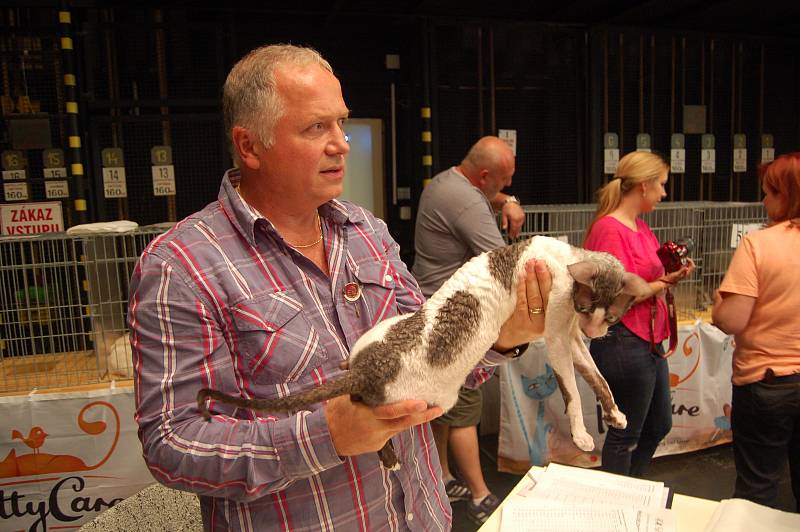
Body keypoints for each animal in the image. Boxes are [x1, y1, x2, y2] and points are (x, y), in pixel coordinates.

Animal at [198, 235, 648, 468]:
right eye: (587, 307)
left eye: (612, 317)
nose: (594, 329)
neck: (568, 254)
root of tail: (368, 368)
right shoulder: (556, 335)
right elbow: (573, 389)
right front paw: (583, 434)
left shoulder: (569, 338)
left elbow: (597, 377)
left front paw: (615, 413)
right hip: (422, 401)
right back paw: (388, 455)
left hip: (376, 337)